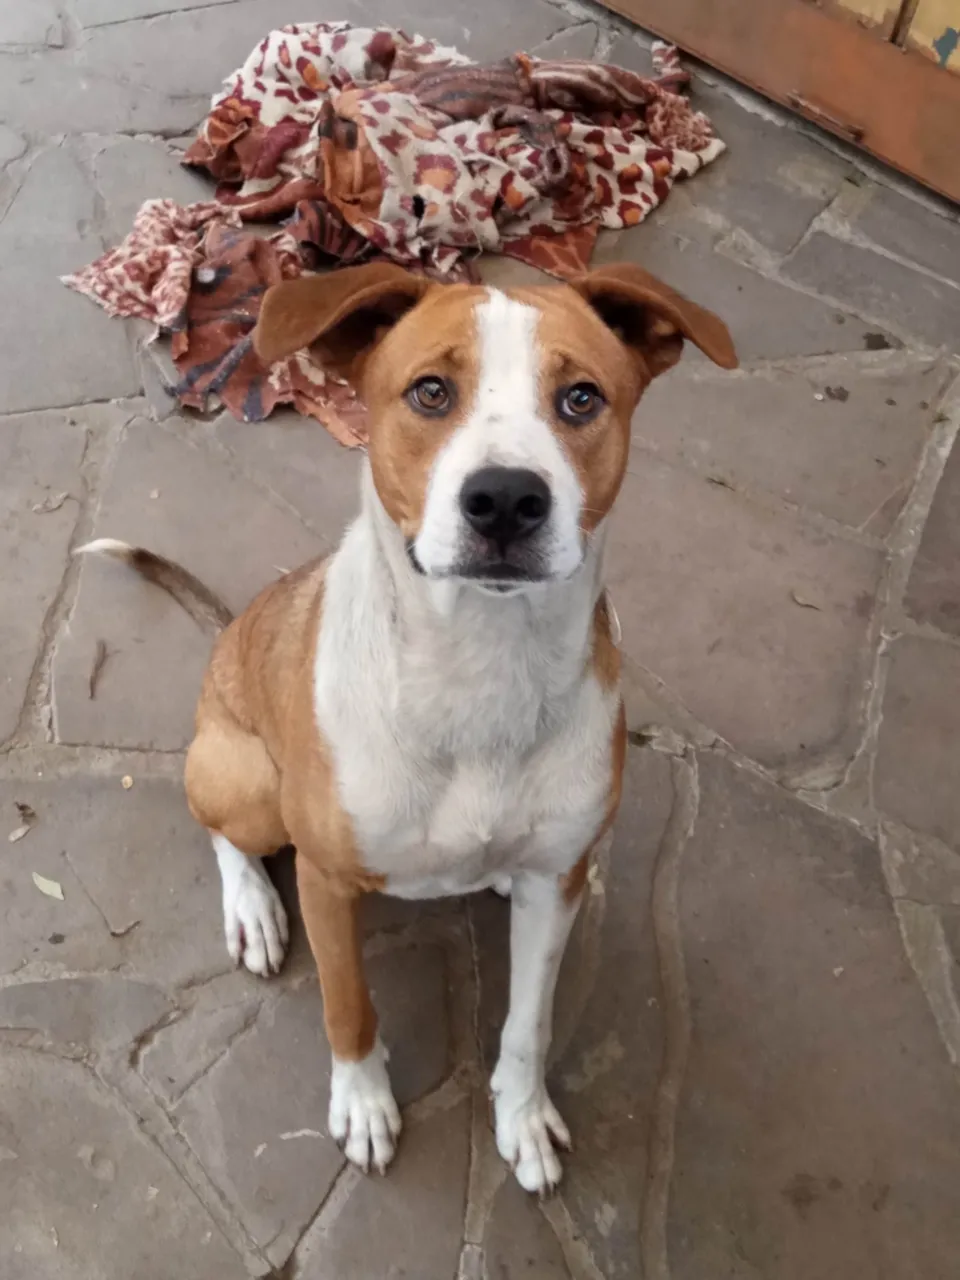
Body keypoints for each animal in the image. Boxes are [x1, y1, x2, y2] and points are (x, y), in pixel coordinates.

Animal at [80, 260, 735, 1193]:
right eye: (430, 391)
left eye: (580, 398)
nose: (506, 499)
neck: (480, 666)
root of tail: (226, 636)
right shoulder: (324, 879)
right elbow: (348, 1005)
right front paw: (362, 1106)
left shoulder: (559, 881)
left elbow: (529, 1024)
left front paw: (522, 1117)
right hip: (246, 782)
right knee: (220, 828)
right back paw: (253, 908)